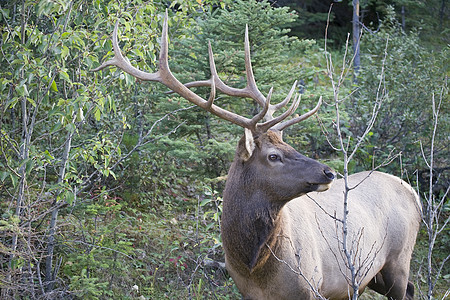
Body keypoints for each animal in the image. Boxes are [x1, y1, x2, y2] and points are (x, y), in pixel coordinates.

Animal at [93, 10, 424, 298]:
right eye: (274, 156)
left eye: (288, 147)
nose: (328, 172)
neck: (255, 269)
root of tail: (414, 193)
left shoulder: (313, 286)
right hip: (373, 276)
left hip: (398, 261)